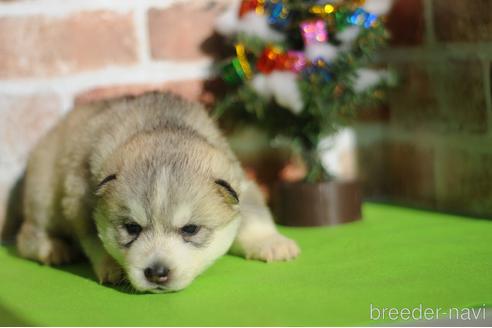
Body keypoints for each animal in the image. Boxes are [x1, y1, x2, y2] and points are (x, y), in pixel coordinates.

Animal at [17, 91, 298, 292]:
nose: (156, 272)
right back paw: (51, 247)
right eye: (132, 228)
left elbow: (254, 217)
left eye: (190, 229)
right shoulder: (79, 198)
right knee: (27, 234)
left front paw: (270, 242)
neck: (163, 125)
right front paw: (111, 265)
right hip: (43, 195)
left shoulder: (241, 182)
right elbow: (94, 240)